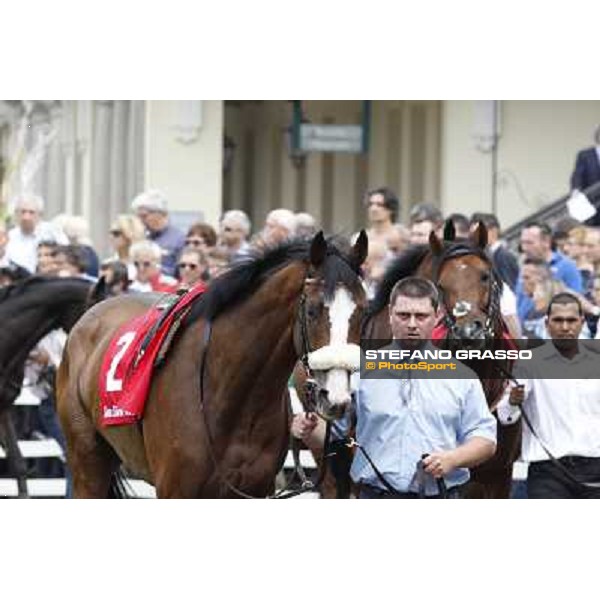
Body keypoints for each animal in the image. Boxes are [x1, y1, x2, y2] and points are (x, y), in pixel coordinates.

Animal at [56, 232, 368, 500]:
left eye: (363, 311)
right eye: (313, 310)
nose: (336, 398)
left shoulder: (254, 489)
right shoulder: (177, 489)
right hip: (87, 461)